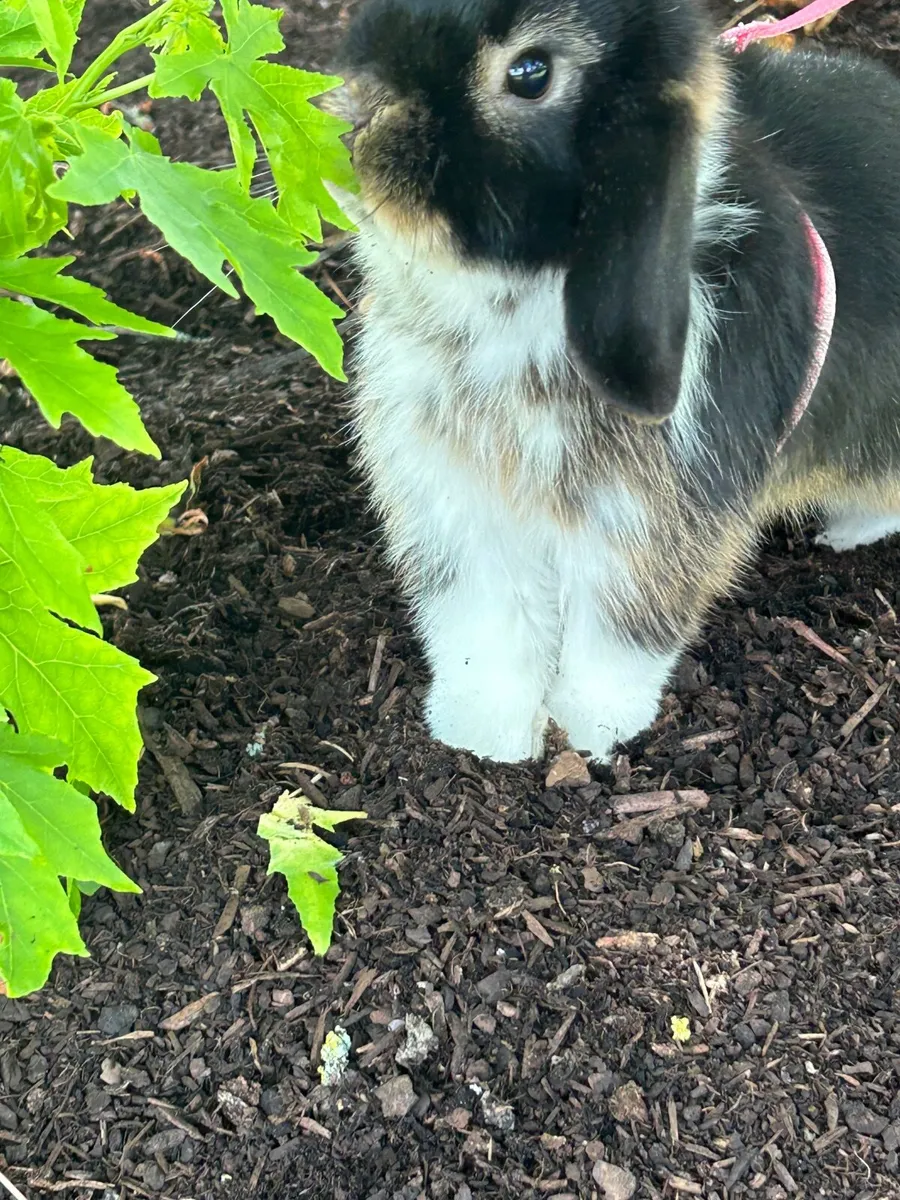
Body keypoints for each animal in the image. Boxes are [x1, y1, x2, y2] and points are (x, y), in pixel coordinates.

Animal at [324, 0, 900, 763]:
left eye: (531, 73)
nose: (356, 111)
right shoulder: (461, 517)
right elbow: (484, 632)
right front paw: (484, 738)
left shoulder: (646, 536)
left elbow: (619, 642)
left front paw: (591, 733)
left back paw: (843, 533)